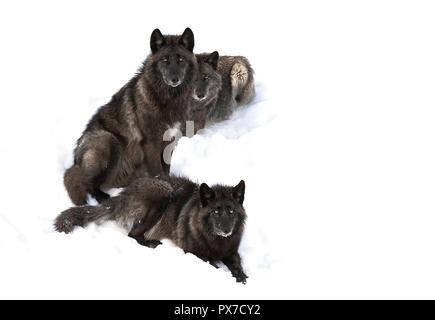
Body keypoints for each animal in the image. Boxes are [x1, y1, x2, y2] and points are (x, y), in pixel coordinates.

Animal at [53, 176, 249, 284]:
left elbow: (237, 265)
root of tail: (122, 195)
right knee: (133, 234)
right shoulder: (193, 253)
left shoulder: (231, 251)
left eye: (231, 211)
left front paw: (242, 277)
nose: (226, 230)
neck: (216, 241)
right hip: (162, 192)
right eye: (216, 212)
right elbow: (213, 265)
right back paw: (151, 243)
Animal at [62, 26, 198, 204]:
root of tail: (75, 160)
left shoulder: (169, 144)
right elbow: (158, 173)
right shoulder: (151, 145)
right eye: (165, 60)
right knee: (87, 182)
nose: (174, 79)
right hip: (109, 141)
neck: (169, 99)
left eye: (181, 59)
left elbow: (166, 171)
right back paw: (103, 198)